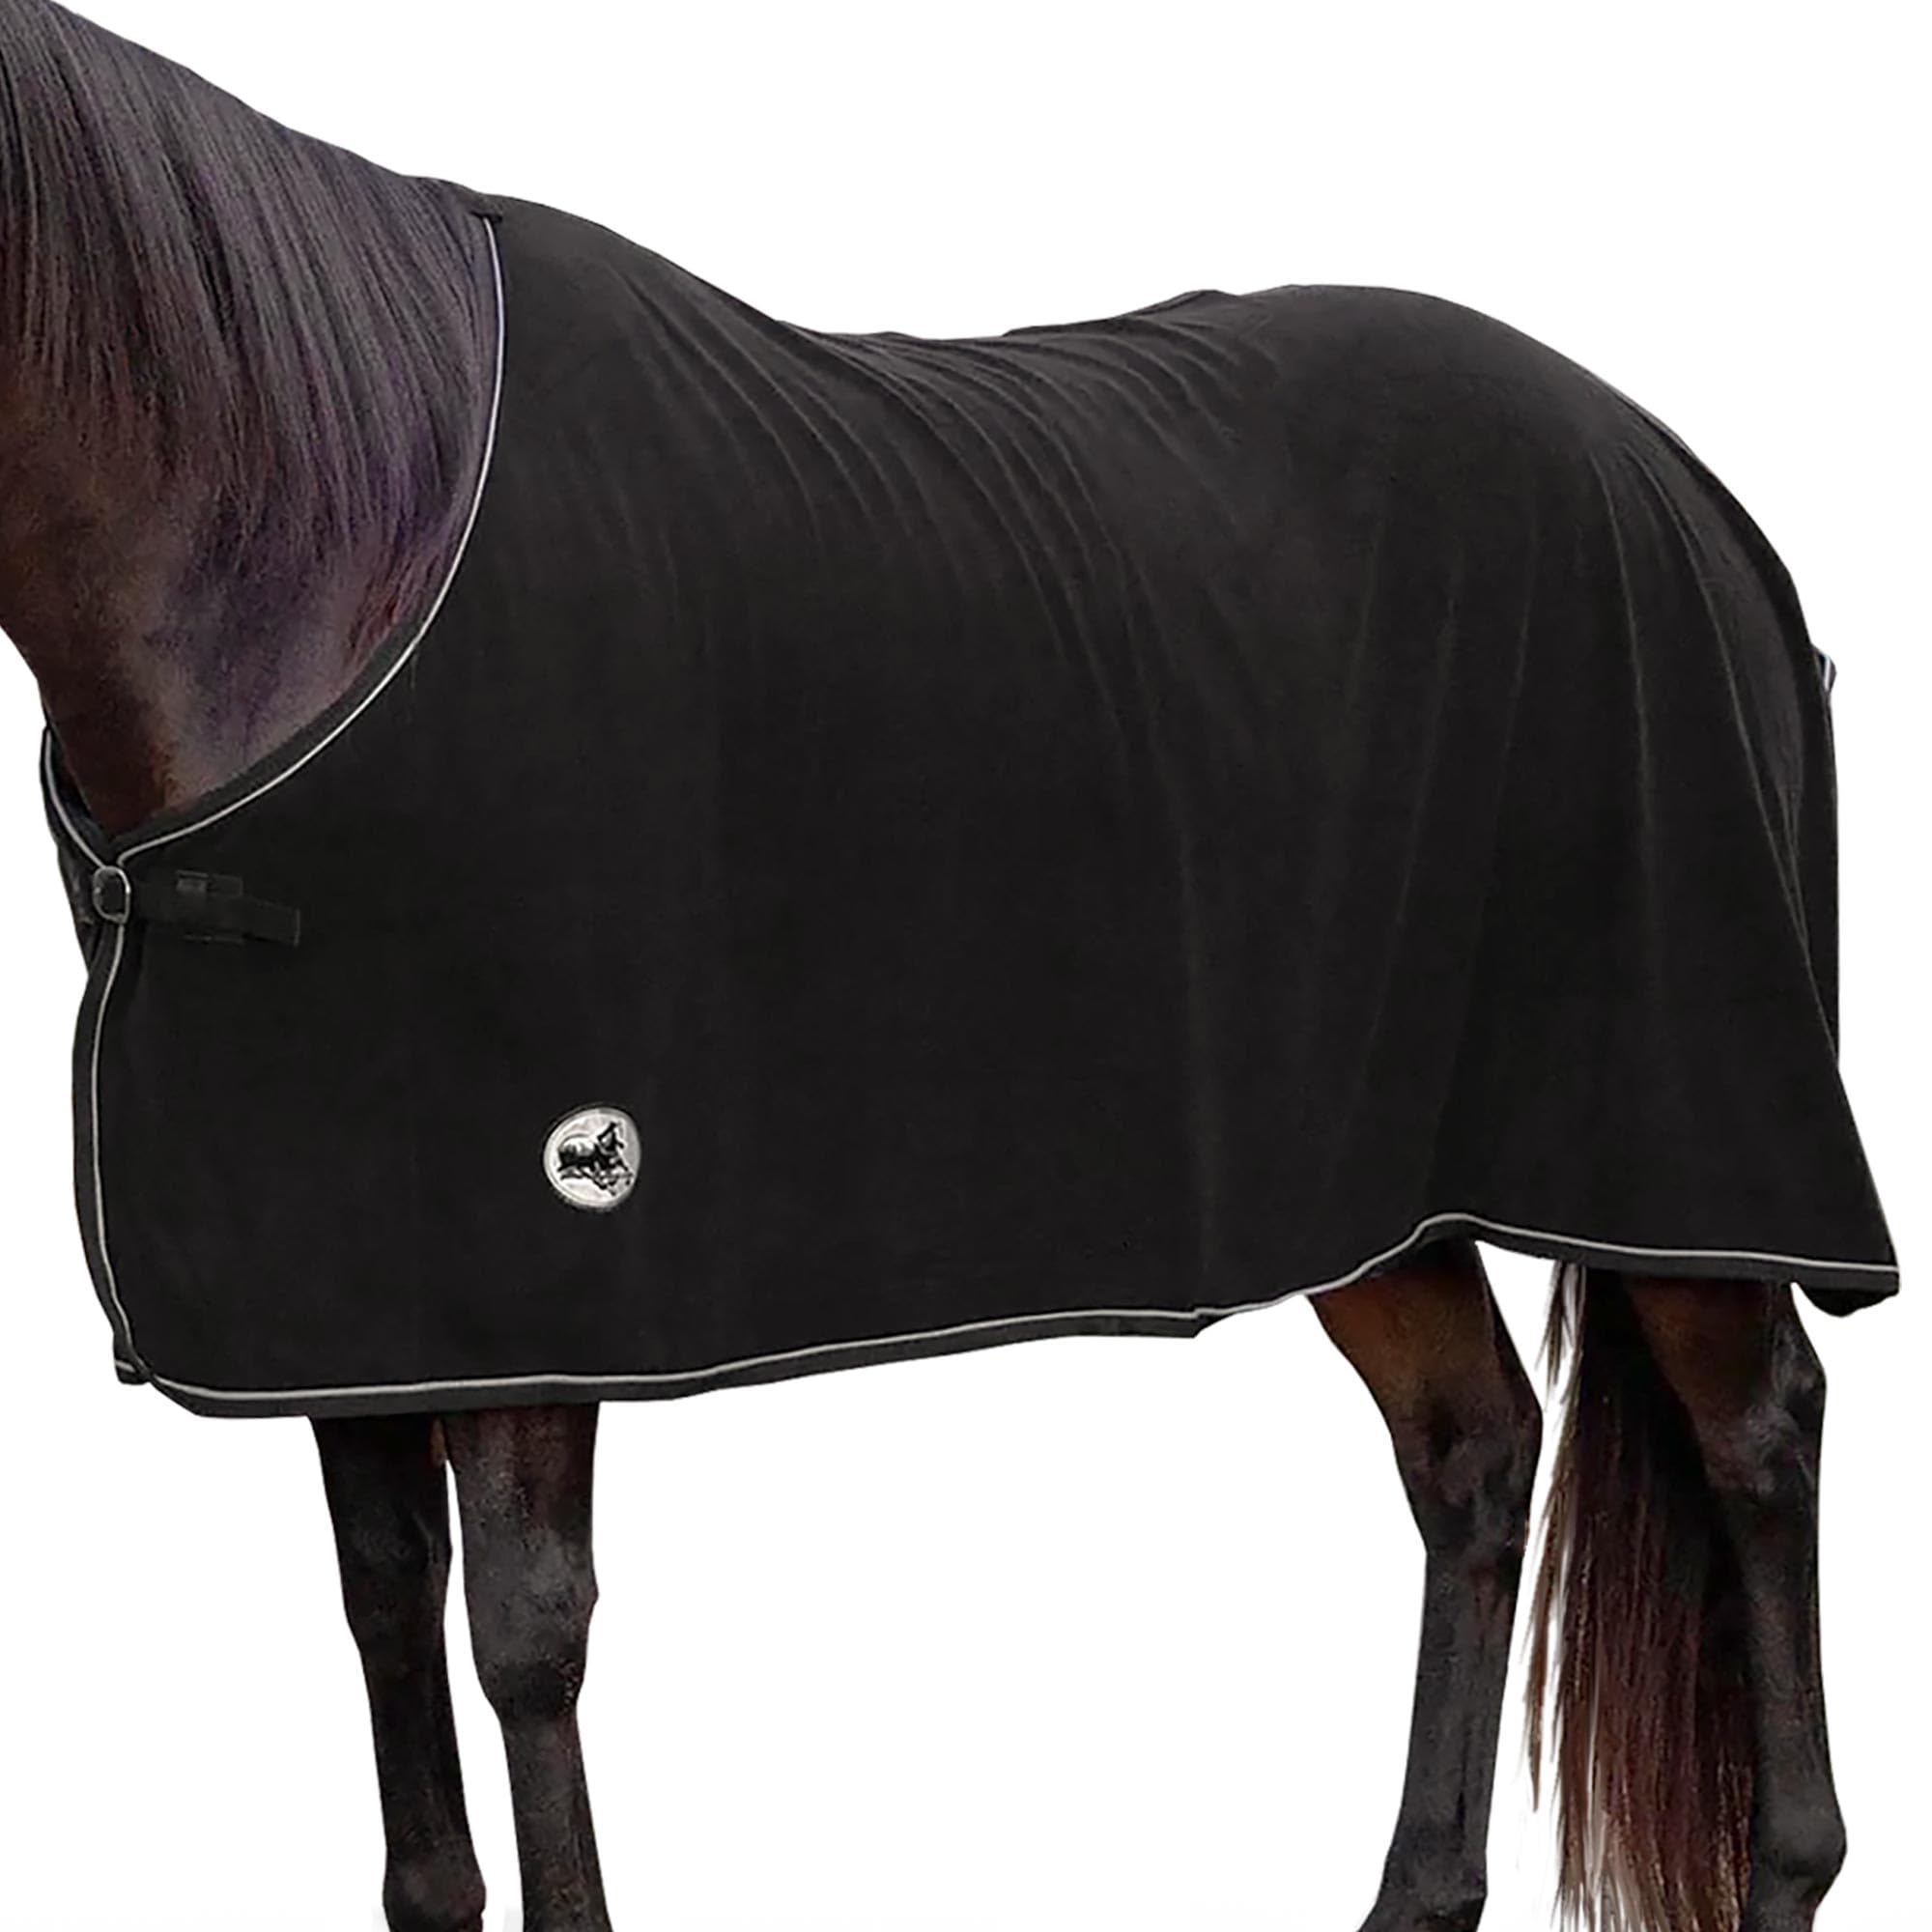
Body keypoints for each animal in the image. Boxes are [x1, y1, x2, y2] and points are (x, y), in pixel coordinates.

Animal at [0, 5, 1897, 1929]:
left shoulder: (548, 1252)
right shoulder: (343, 1294)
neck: (333, 557)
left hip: (1674, 1134)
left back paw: (1784, 1871)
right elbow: (386, 1599)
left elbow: (526, 1635)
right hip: (1376, 1187)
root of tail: (1681, 485)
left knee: (1760, 1434)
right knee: (1475, 1451)